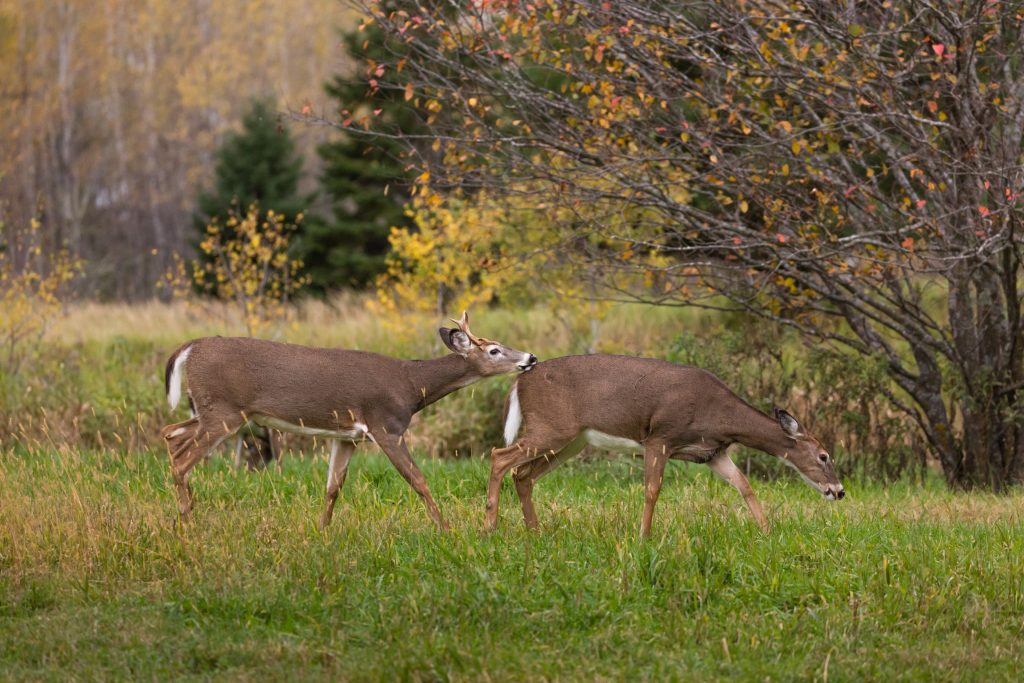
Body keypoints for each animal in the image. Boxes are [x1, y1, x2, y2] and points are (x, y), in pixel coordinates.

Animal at [159, 313, 536, 532]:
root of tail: (188, 347)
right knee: (182, 458)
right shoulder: (386, 426)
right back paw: (188, 522)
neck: (411, 385)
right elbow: (418, 480)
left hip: (209, 412)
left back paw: (185, 513)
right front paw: (446, 530)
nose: (530, 358)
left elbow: (333, 487)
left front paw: (322, 531)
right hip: (223, 411)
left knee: (170, 434)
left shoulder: (348, 436)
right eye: (494, 351)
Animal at [483, 356, 843, 536]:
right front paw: (644, 537)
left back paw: (535, 532)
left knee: (523, 474)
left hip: (571, 439)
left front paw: (767, 532)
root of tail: (519, 381)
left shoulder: (712, 452)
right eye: (823, 455)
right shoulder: (660, 437)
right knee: (499, 457)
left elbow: (744, 485)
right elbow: (652, 490)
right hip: (552, 427)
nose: (838, 491)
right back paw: (490, 528)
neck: (718, 415)